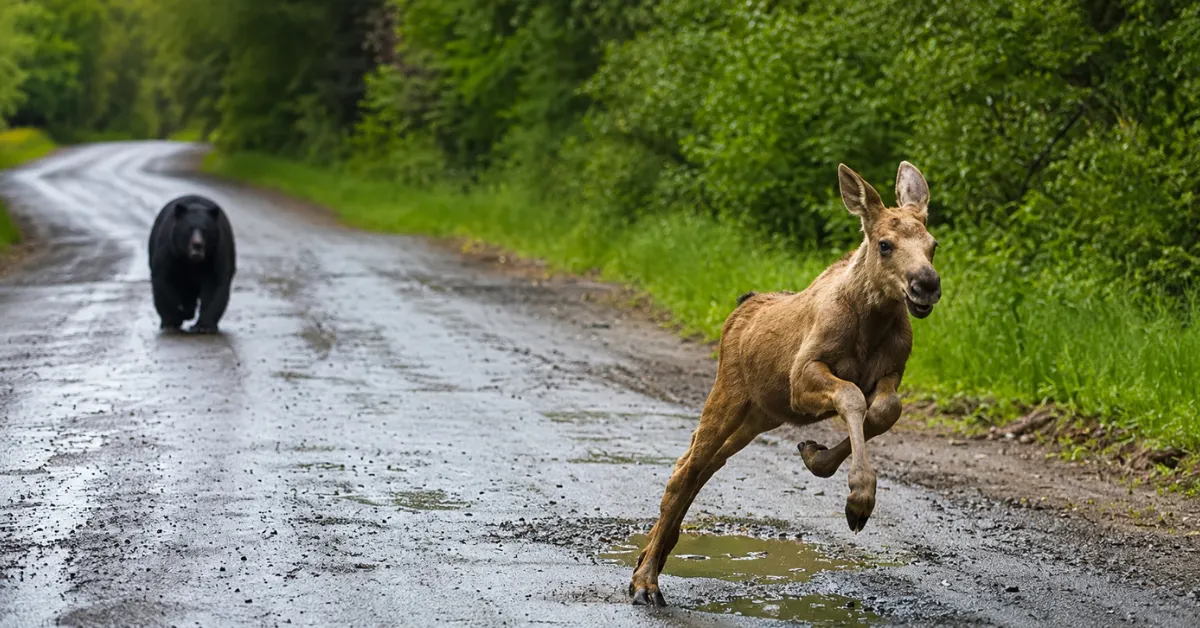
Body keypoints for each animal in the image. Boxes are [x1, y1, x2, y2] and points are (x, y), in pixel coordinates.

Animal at [148, 194, 236, 333]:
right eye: (189, 229)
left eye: (205, 230)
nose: (197, 244)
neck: (192, 261)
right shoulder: (169, 251)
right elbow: (164, 280)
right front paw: (171, 322)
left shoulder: (216, 253)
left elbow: (215, 284)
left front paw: (204, 326)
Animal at [629, 162, 941, 607]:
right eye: (885, 244)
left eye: (933, 245)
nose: (926, 284)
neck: (872, 321)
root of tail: (739, 309)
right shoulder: (802, 373)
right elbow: (851, 397)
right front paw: (858, 500)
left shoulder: (890, 374)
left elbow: (883, 409)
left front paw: (816, 456)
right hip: (728, 395)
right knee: (686, 470)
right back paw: (646, 582)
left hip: (760, 415)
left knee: (700, 465)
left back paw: (647, 561)